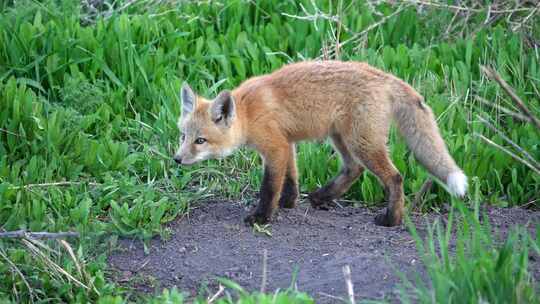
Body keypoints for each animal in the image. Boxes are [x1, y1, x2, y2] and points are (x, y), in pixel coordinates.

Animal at [175, 60, 466, 226]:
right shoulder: (287, 143)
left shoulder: (275, 148)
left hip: (362, 143)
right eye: (183, 136)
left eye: (200, 141)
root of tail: (383, 76)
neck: (248, 112)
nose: (176, 159)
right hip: (341, 138)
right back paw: (322, 196)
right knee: (353, 169)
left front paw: (262, 217)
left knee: (394, 177)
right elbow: (291, 178)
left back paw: (391, 219)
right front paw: (289, 202)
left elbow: (269, 187)